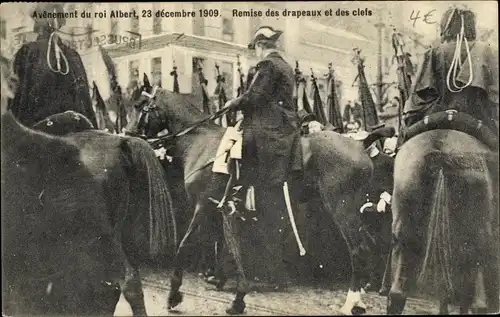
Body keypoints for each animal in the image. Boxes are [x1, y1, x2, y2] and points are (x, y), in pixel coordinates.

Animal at [123, 74, 392, 314]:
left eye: (138, 105)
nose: (127, 135)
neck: (200, 143)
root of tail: (360, 143)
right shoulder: (223, 209)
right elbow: (229, 247)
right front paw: (235, 294)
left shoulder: (203, 205)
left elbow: (186, 245)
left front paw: (175, 295)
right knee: (368, 246)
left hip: (341, 207)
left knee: (358, 249)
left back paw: (352, 302)